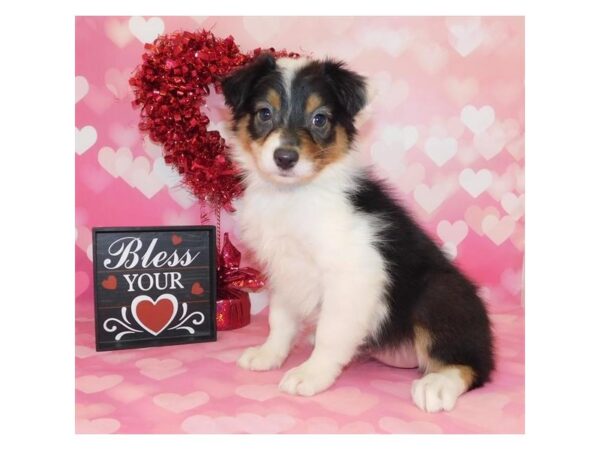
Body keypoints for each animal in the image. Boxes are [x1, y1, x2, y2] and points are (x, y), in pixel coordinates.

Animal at [220, 54, 492, 414]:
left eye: (320, 119)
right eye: (265, 113)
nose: (285, 158)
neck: (294, 195)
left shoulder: (352, 272)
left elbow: (331, 331)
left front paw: (311, 373)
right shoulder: (282, 268)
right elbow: (280, 318)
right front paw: (269, 354)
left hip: (440, 292)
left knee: (473, 365)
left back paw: (437, 384)